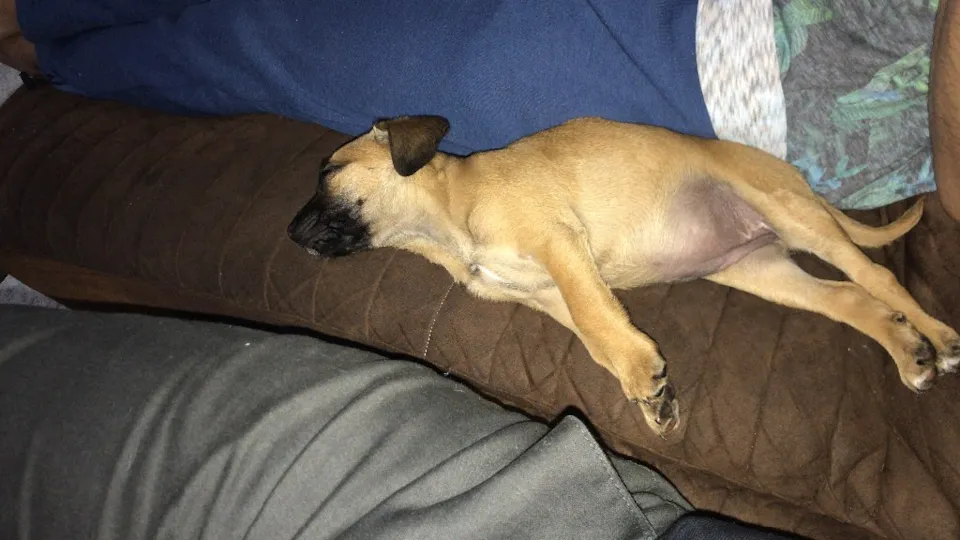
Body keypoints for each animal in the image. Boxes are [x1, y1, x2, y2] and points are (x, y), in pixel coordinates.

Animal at [288, 115, 960, 436]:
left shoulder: (558, 245)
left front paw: (642, 374)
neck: (452, 219)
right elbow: (597, 335)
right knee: (849, 298)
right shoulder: (549, 293)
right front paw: (647, 391)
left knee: (879, 280)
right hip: (758, 267)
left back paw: (939, 339)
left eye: (329, 172)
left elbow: (596, 317)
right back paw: (908, 354)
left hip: (794, 216)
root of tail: (800, 183)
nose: (290, 234)